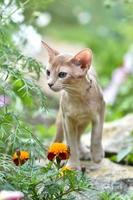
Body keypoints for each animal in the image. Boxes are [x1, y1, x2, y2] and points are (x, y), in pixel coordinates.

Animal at [42, 41, 105, 169]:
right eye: (48, 72)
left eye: (62, 74)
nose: (49, 84)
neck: (78, 97)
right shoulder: (67, 120)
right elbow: (71, 143)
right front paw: (73, 165)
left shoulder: (100, 111)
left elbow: (96, 135)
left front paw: (97, 155)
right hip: (61, 121)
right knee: (58, 139)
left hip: (84, 122)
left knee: (79, 136)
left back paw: (84, 152)